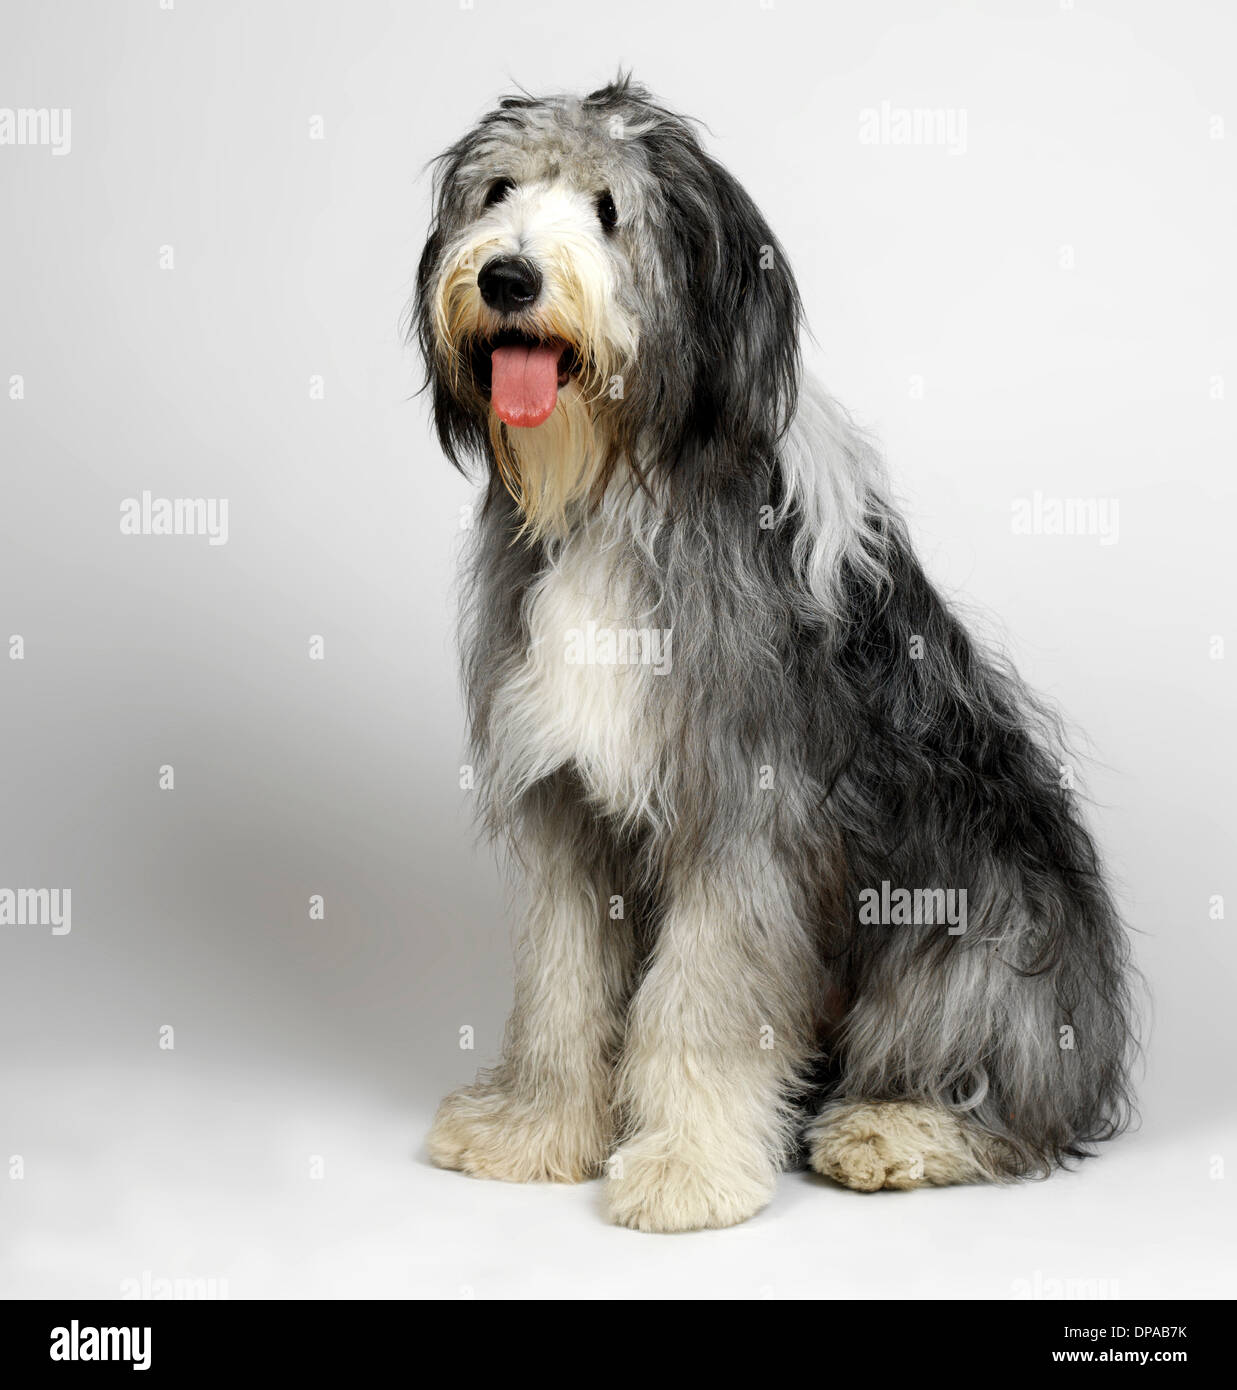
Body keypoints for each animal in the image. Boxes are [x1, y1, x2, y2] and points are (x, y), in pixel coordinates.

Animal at [408, 76, 1134, 1234]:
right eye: (500, 190)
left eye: (609, 211)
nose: (507, 276)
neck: (615, 489)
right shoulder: (569, 804)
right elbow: (562, 981)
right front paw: (536, 1130)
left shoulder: (743, 812)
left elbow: (702, 999)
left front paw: (684, 1169)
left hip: (979, 924)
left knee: (1013, 1104)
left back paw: (896, 1132)